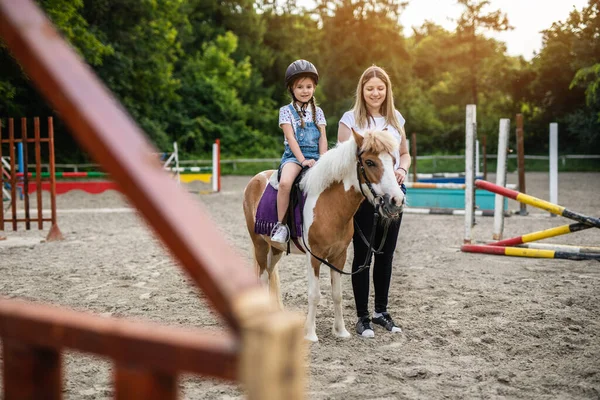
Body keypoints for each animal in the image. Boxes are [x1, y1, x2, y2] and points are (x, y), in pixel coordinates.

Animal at [241, 130, 406, 342]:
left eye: (393, 160)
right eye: (370, 162)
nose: (397, 201)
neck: (329, 204)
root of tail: (256, 179)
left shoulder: (339, 256)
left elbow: (337, 294)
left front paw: (341, 331)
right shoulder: (314, 257)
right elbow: (314, 294)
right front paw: (310, 334)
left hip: (275, 249)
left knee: (269, 275)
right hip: (259, 244)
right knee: (262, 277)